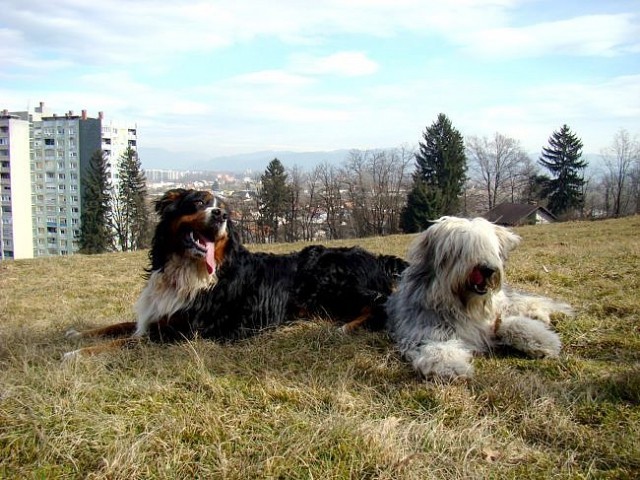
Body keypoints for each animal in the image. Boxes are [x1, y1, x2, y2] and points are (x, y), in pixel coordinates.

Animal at [63, 188, 404, 356]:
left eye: (225, 210)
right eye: (197, 202)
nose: (220, 215)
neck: (186, 269)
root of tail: (376, 258)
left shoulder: (179, 331)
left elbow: (122, 342)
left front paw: (75, 355)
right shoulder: (154, 318)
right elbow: (116, 327)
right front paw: (78, 334)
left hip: (328, 278)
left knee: (381, 305)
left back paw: (346, 327)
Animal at [388, 216, 572, 380]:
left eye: (489, 248)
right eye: (462, 250)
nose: (487, 269)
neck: (467, 306)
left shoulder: (494, 317)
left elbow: (512, 323)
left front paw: (544, 341)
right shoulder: (424, 330)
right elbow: (438, 346)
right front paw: (451, 366)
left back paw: (538, 315)